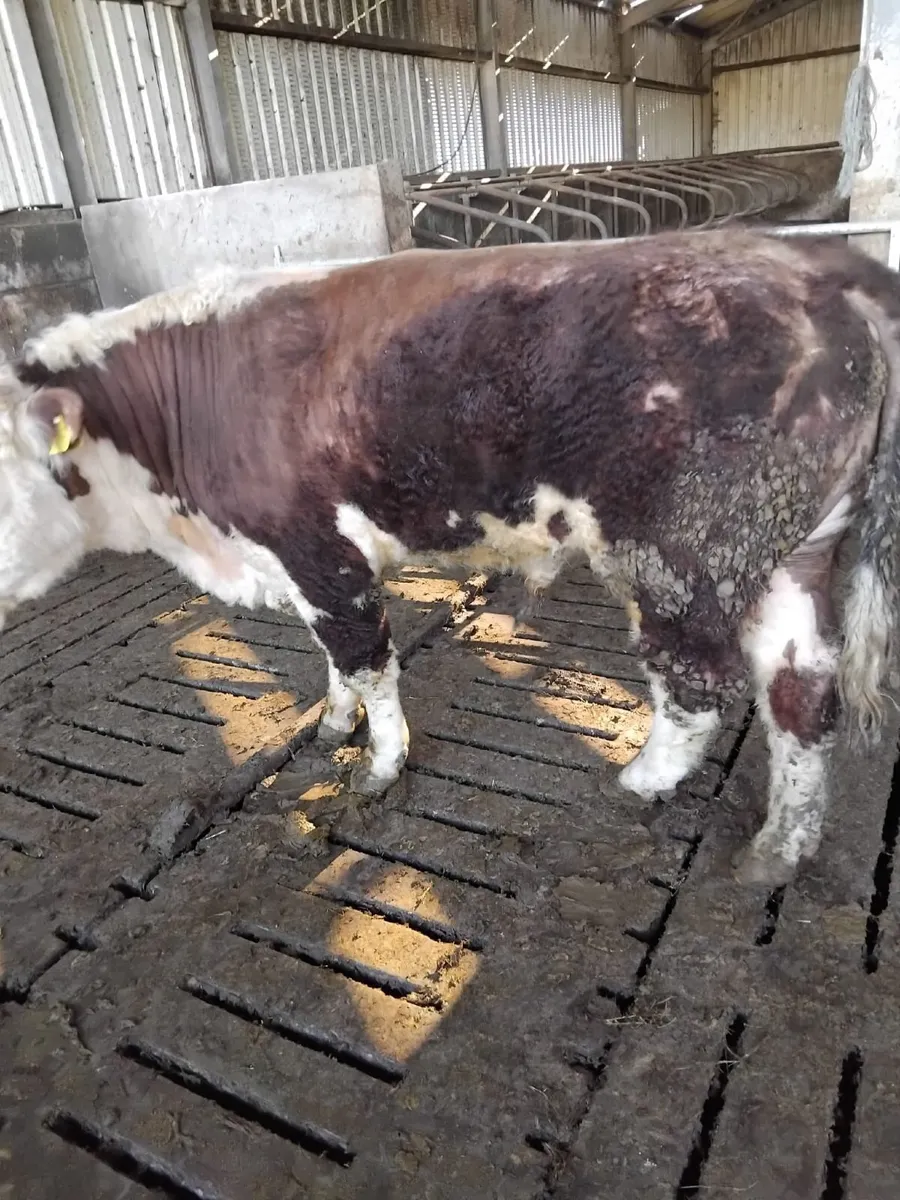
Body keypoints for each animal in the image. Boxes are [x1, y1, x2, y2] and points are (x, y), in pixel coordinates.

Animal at [1, 228, 899, 888]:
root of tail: (812, 259)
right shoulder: (298, 565)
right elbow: (334, 663)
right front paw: (333, 725)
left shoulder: (320, 549)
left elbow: (367, 663)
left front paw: (379, 765)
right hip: (795, 553)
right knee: (801, 695)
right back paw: (776, 851)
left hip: (681, 556)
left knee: (699, 688)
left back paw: (641, 782)